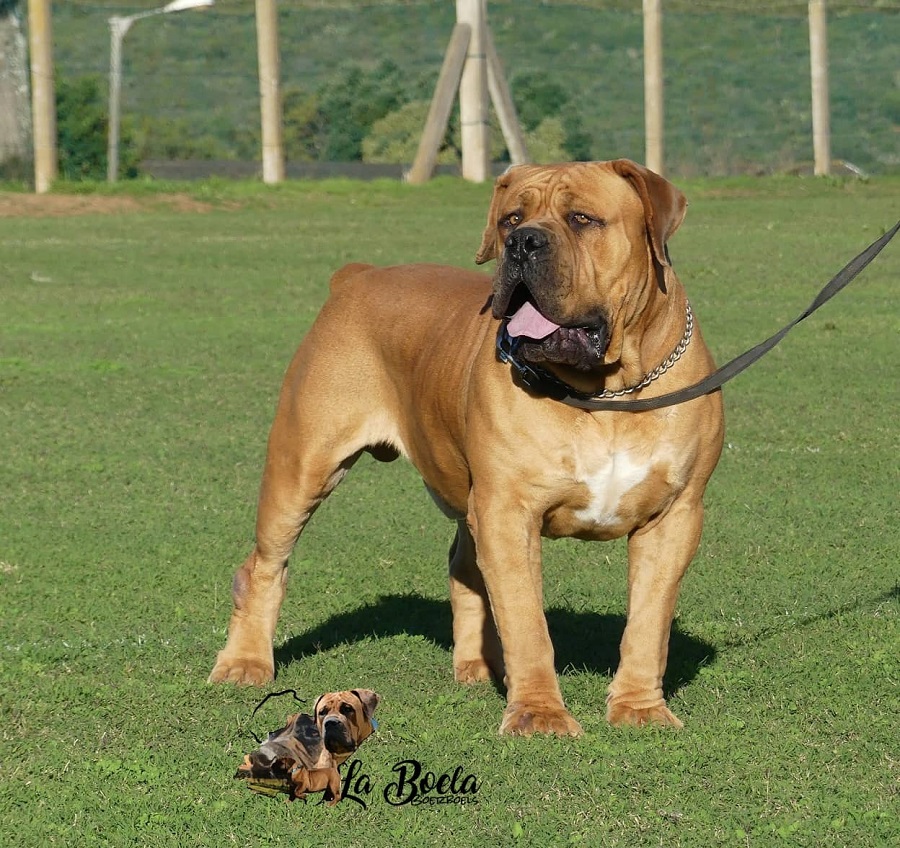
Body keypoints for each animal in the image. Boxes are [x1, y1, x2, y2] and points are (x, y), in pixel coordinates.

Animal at [211, 159, 724, 736]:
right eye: (510, 219)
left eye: (582, 218)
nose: (523, 242)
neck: (606, 391)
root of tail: (357, 275)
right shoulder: (507, 511)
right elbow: (527, 621)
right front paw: (539, 714)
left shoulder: (674, 517)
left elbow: (648, 622)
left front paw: (639, 707)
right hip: (302, 465)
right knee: (264, 566)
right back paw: (244, 663)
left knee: (464, 566)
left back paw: (478, 665)